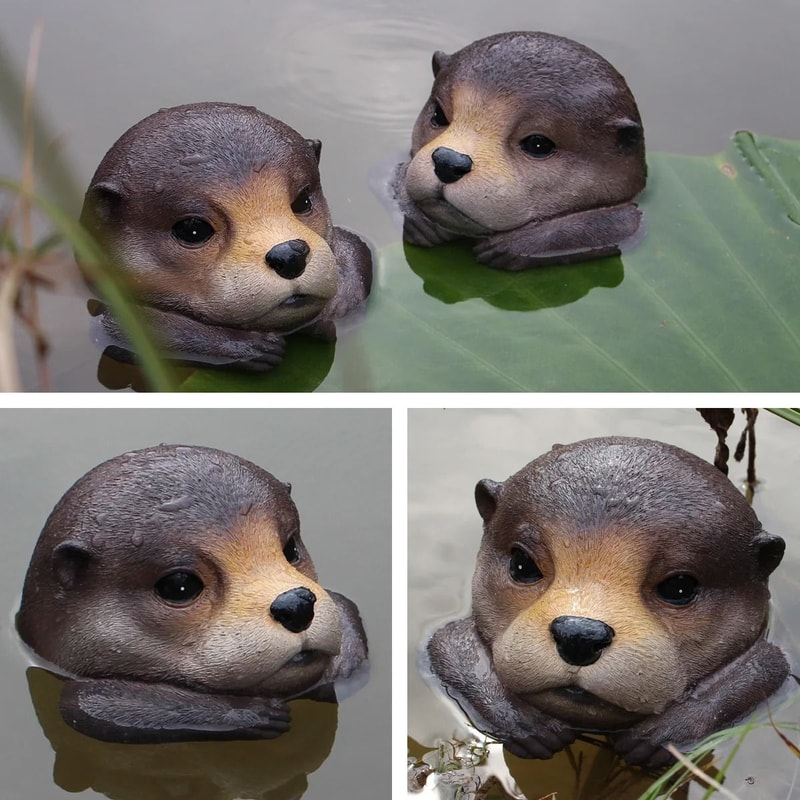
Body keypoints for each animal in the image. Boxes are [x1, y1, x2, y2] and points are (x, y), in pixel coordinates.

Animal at [16, 444, 368, 743]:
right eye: (180, 585)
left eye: (291, 548)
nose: (295, 604)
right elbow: (84, 703)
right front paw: (250, 712)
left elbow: (345, 606)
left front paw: (339, 669)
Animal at [80, 103, 373, 369]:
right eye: (193, 229)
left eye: (302, 200)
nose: (289, 254)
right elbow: (118, 329)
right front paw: (247, 346)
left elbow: (356, 247)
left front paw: (333, 307)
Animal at [394, 32, 647, 269]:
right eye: (438, 115)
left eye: (538, 144)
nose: (448, 162)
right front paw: (421, 219)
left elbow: (625, 223)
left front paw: (515, 245)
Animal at [427, 437, 788, 768]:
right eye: (522, 564)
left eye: (679, 587)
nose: (579, 634)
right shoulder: (448, 642)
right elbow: (447, 644)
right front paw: (525, 722)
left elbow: (768, 666)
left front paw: (662, 735)